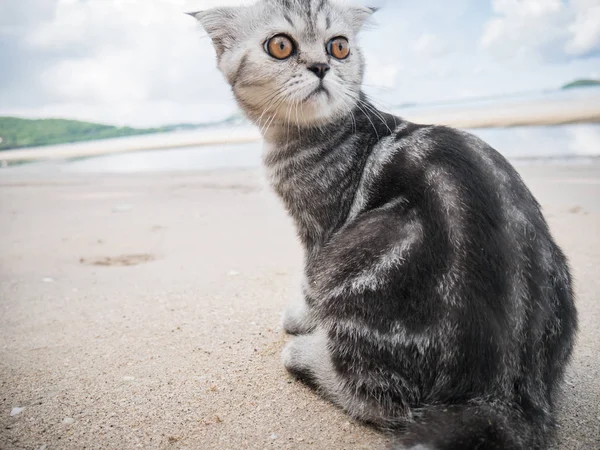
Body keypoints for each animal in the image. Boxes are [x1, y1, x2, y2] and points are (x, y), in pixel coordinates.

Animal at [191, 1, 576, 448]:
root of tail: (502, 396)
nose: (321, 66)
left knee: (382, 400)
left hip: (361, 254)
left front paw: (300, 320)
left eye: (338, 46)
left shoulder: (322, 232)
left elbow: (308, 286)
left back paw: (305, 356)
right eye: (281, 46)